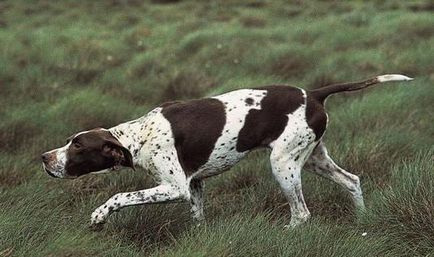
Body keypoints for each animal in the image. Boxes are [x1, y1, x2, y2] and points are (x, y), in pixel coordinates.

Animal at [42, 74, 412, 228]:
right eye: (70, 140)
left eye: (77, 146)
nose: (44, 158)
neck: (139, 135)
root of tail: (315, 93)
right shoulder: (194, 185)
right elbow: (197, 218)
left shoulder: (174, 187)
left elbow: (119, 197)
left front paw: (98, 217)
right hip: (312, 158)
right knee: (352, 181)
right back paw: (363, 219)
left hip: (283, 164)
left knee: (302, 214)